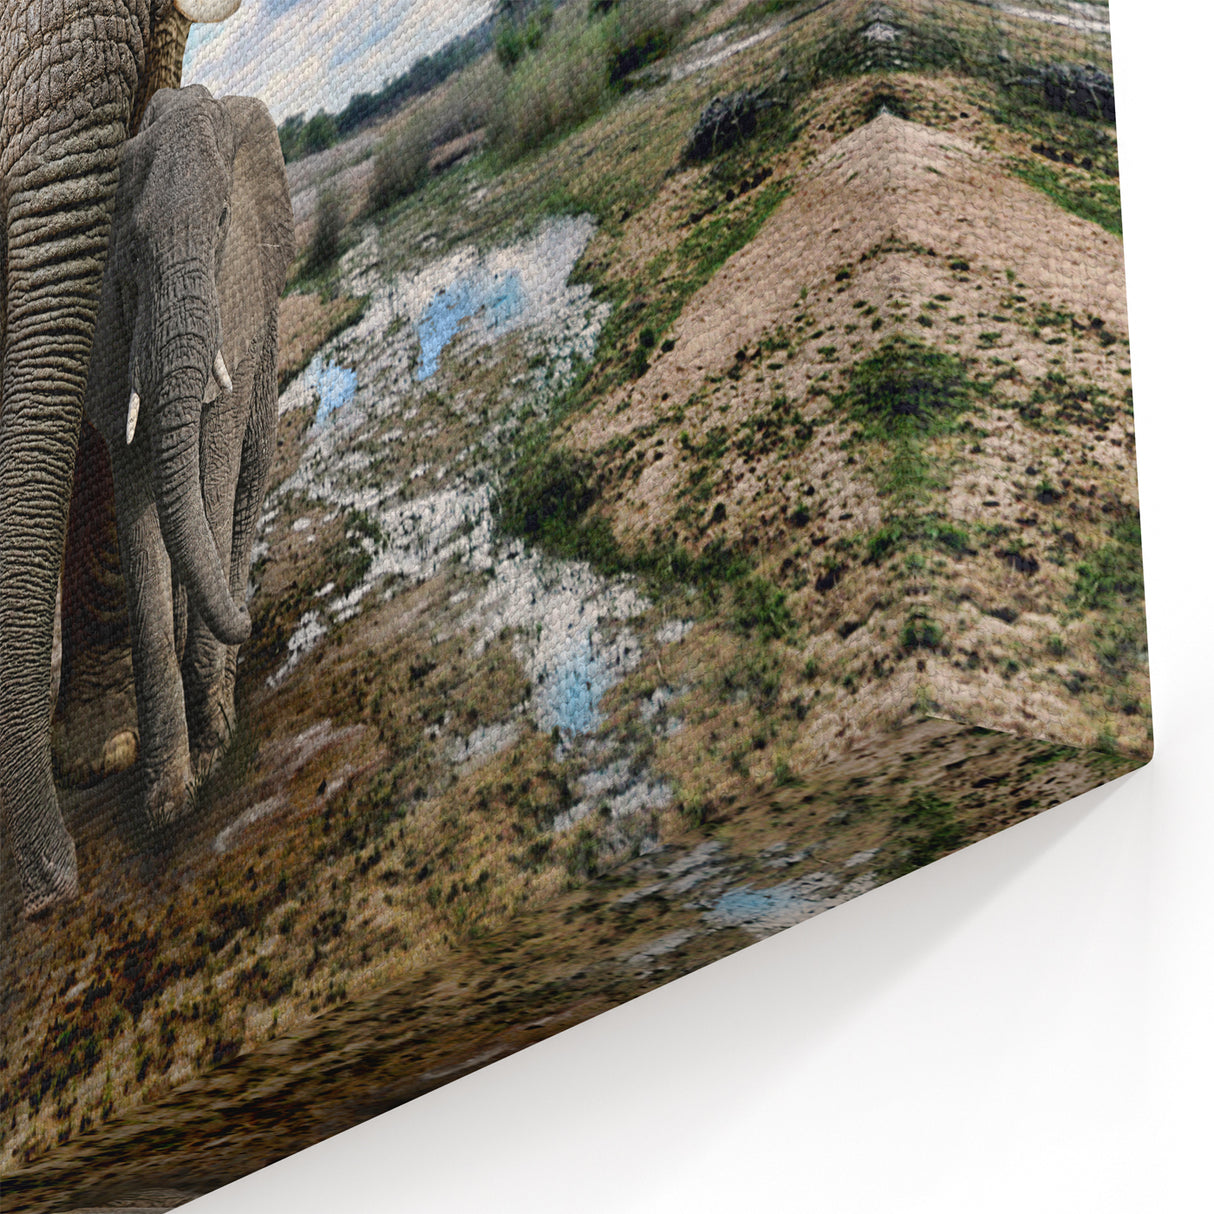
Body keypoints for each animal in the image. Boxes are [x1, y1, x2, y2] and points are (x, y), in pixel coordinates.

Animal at [83, 83, 294, 827]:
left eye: (225, 218)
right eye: (132, 251)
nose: (249, 617)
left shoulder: (239, 305)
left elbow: (215, 465)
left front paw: (215, 741)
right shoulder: (110, 333)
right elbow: (139, 499)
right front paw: (168, 799)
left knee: (249, 475)